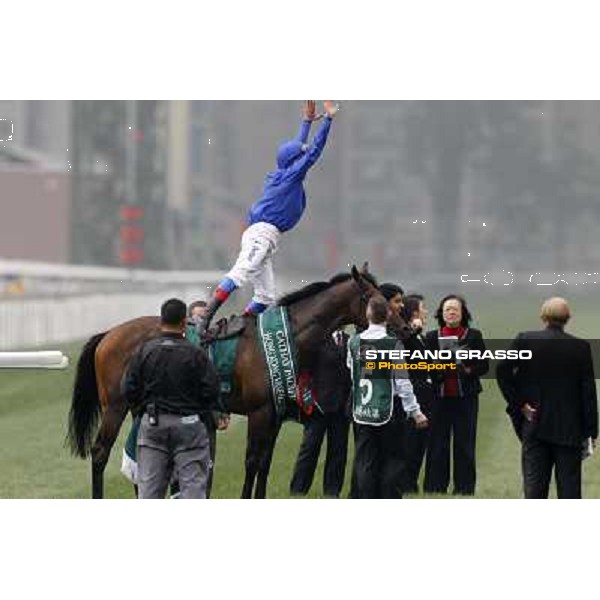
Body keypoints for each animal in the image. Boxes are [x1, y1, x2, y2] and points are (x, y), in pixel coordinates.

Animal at [67, 264, 384, 500]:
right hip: (115, 406)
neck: (286, 337)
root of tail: (108, 334)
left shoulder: (275, 413)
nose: (393, 320)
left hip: (139, 407)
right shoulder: (259, 412)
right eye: (371, 296)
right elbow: (252, 461)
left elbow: (265, 463)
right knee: (100, 452)